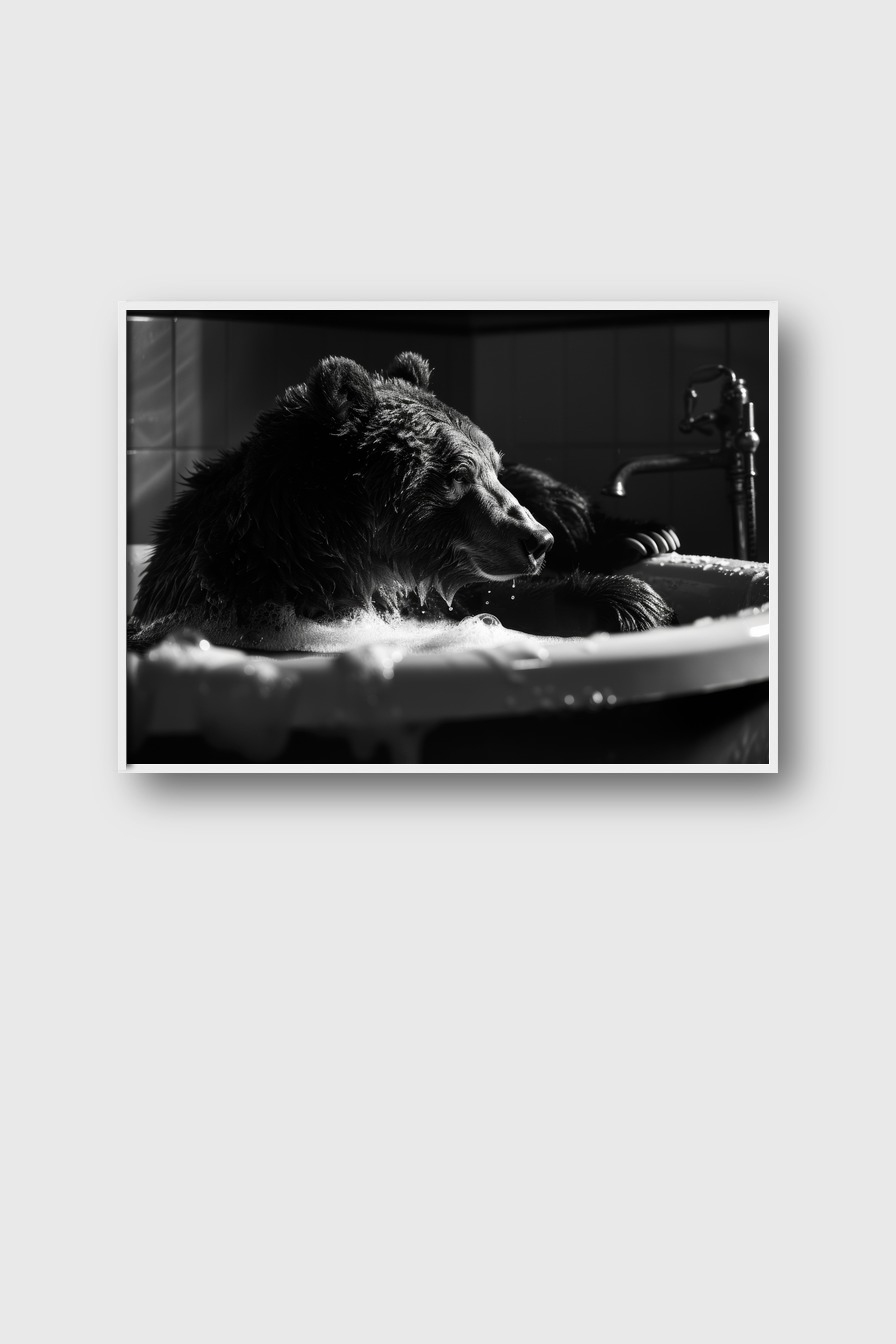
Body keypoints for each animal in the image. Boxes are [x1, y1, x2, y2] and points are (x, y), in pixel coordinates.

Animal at [128, 350, 678, 649]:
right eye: (457, 473)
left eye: (490, 465)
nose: (536, 540)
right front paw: (632, 599)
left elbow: (488, 599)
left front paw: (628, 600)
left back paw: (644, 536)